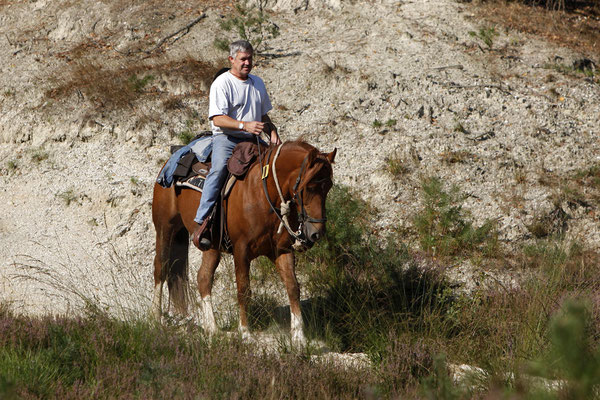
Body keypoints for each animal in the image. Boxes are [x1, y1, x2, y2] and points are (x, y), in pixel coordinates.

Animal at [152, 140, 336, 344]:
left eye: (329, 186)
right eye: (309, 186)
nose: (316, 233)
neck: (264, 193)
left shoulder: (282, 250)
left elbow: (293, 287)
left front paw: (298, 336)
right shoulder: (241, 250)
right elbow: (243, 289)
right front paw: (245, 332)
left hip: (211, 246)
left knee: (203, 278)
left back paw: (212, 329)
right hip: (165, 228)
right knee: (160, 269)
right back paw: (156, 319)